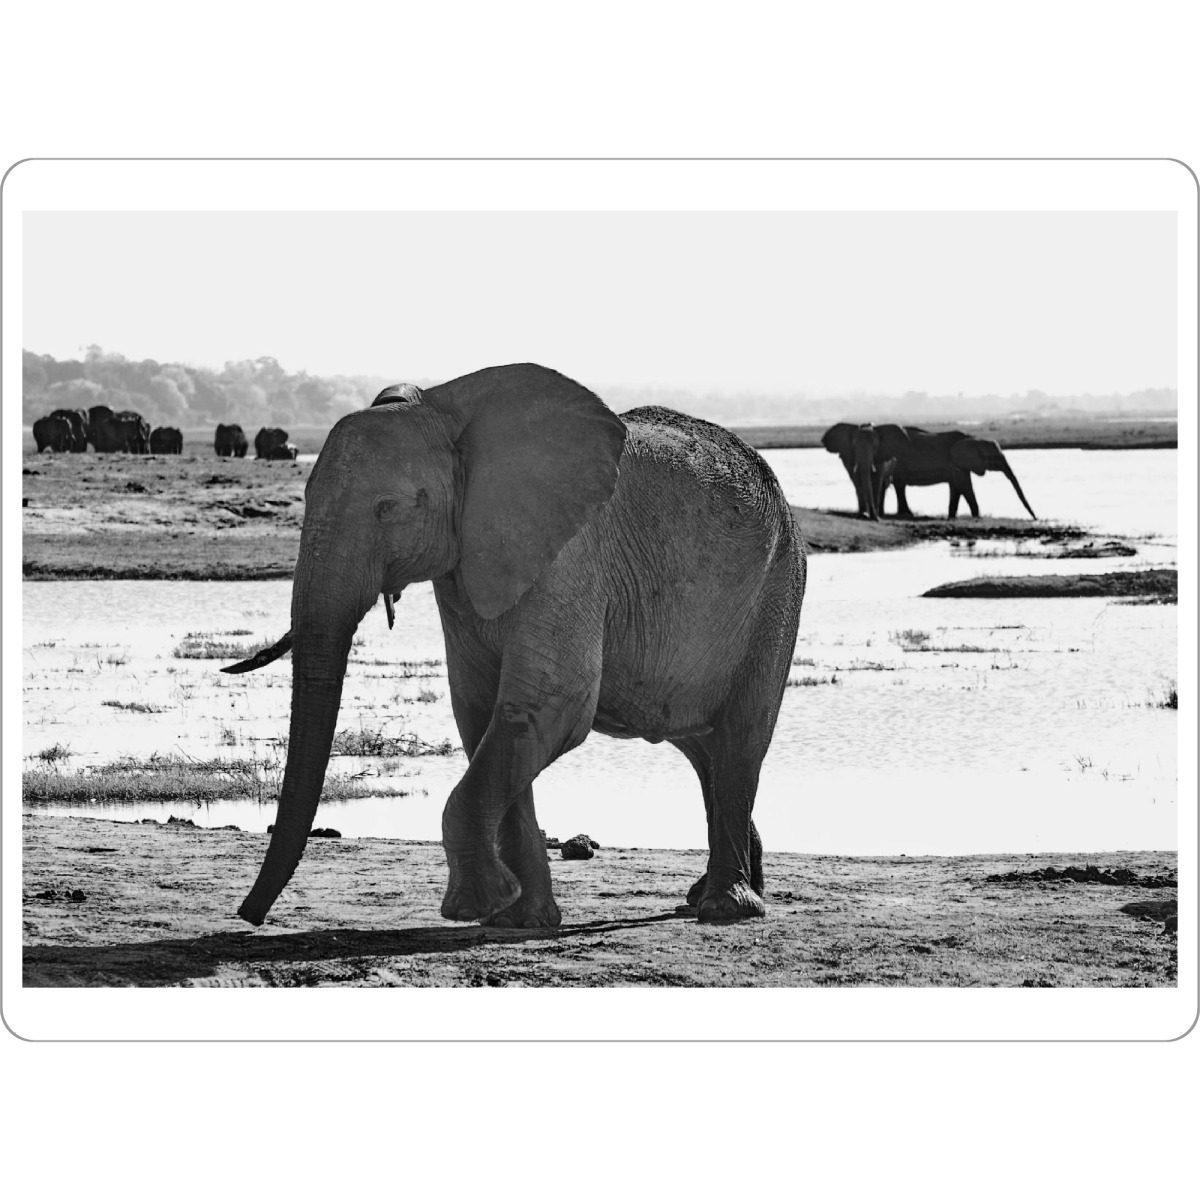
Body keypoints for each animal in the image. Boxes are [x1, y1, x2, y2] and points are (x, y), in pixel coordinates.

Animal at [225, 363, 806, 930]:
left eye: (386, 509)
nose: (250, 916)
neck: (445, 407)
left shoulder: (568, 554)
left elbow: (546, 705)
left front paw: (474, 907)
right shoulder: (465, 563)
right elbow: (484, 712)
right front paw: (519, 918)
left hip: (778, 592)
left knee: (739, 740)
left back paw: (726, 908)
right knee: (703, 748)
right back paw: (709, 894)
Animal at [873, 425, 1036, 519]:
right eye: (994, 458)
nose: (1036, 519)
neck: (974, 439)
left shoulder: (960, 465)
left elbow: (956, 487)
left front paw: (951, 517)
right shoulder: (957, 464)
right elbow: (964, 486)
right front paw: (977, 517)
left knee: (897, 486)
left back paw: (901, 514)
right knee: (897, 485)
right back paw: (903, 514)